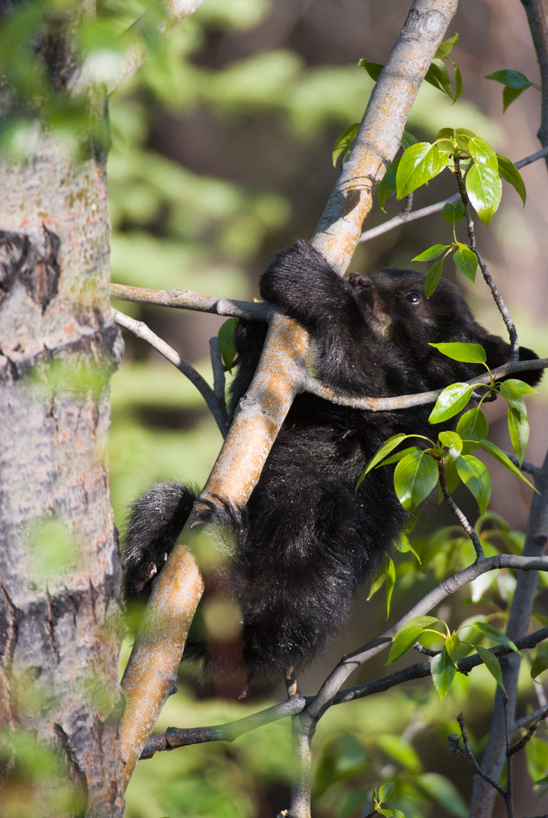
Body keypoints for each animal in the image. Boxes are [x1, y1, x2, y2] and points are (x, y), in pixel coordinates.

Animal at [122, 239, 541, 680]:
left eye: (413, 296)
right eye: (382, 275)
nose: (358, 278)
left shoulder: (420, 413)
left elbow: (375, 380)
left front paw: (310, 279)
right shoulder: (314, 408)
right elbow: (272, 408)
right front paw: (255, 332)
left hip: (319, 574)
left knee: (302, 527)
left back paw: (225, 545)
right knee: (164, 498)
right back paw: (148, 564)